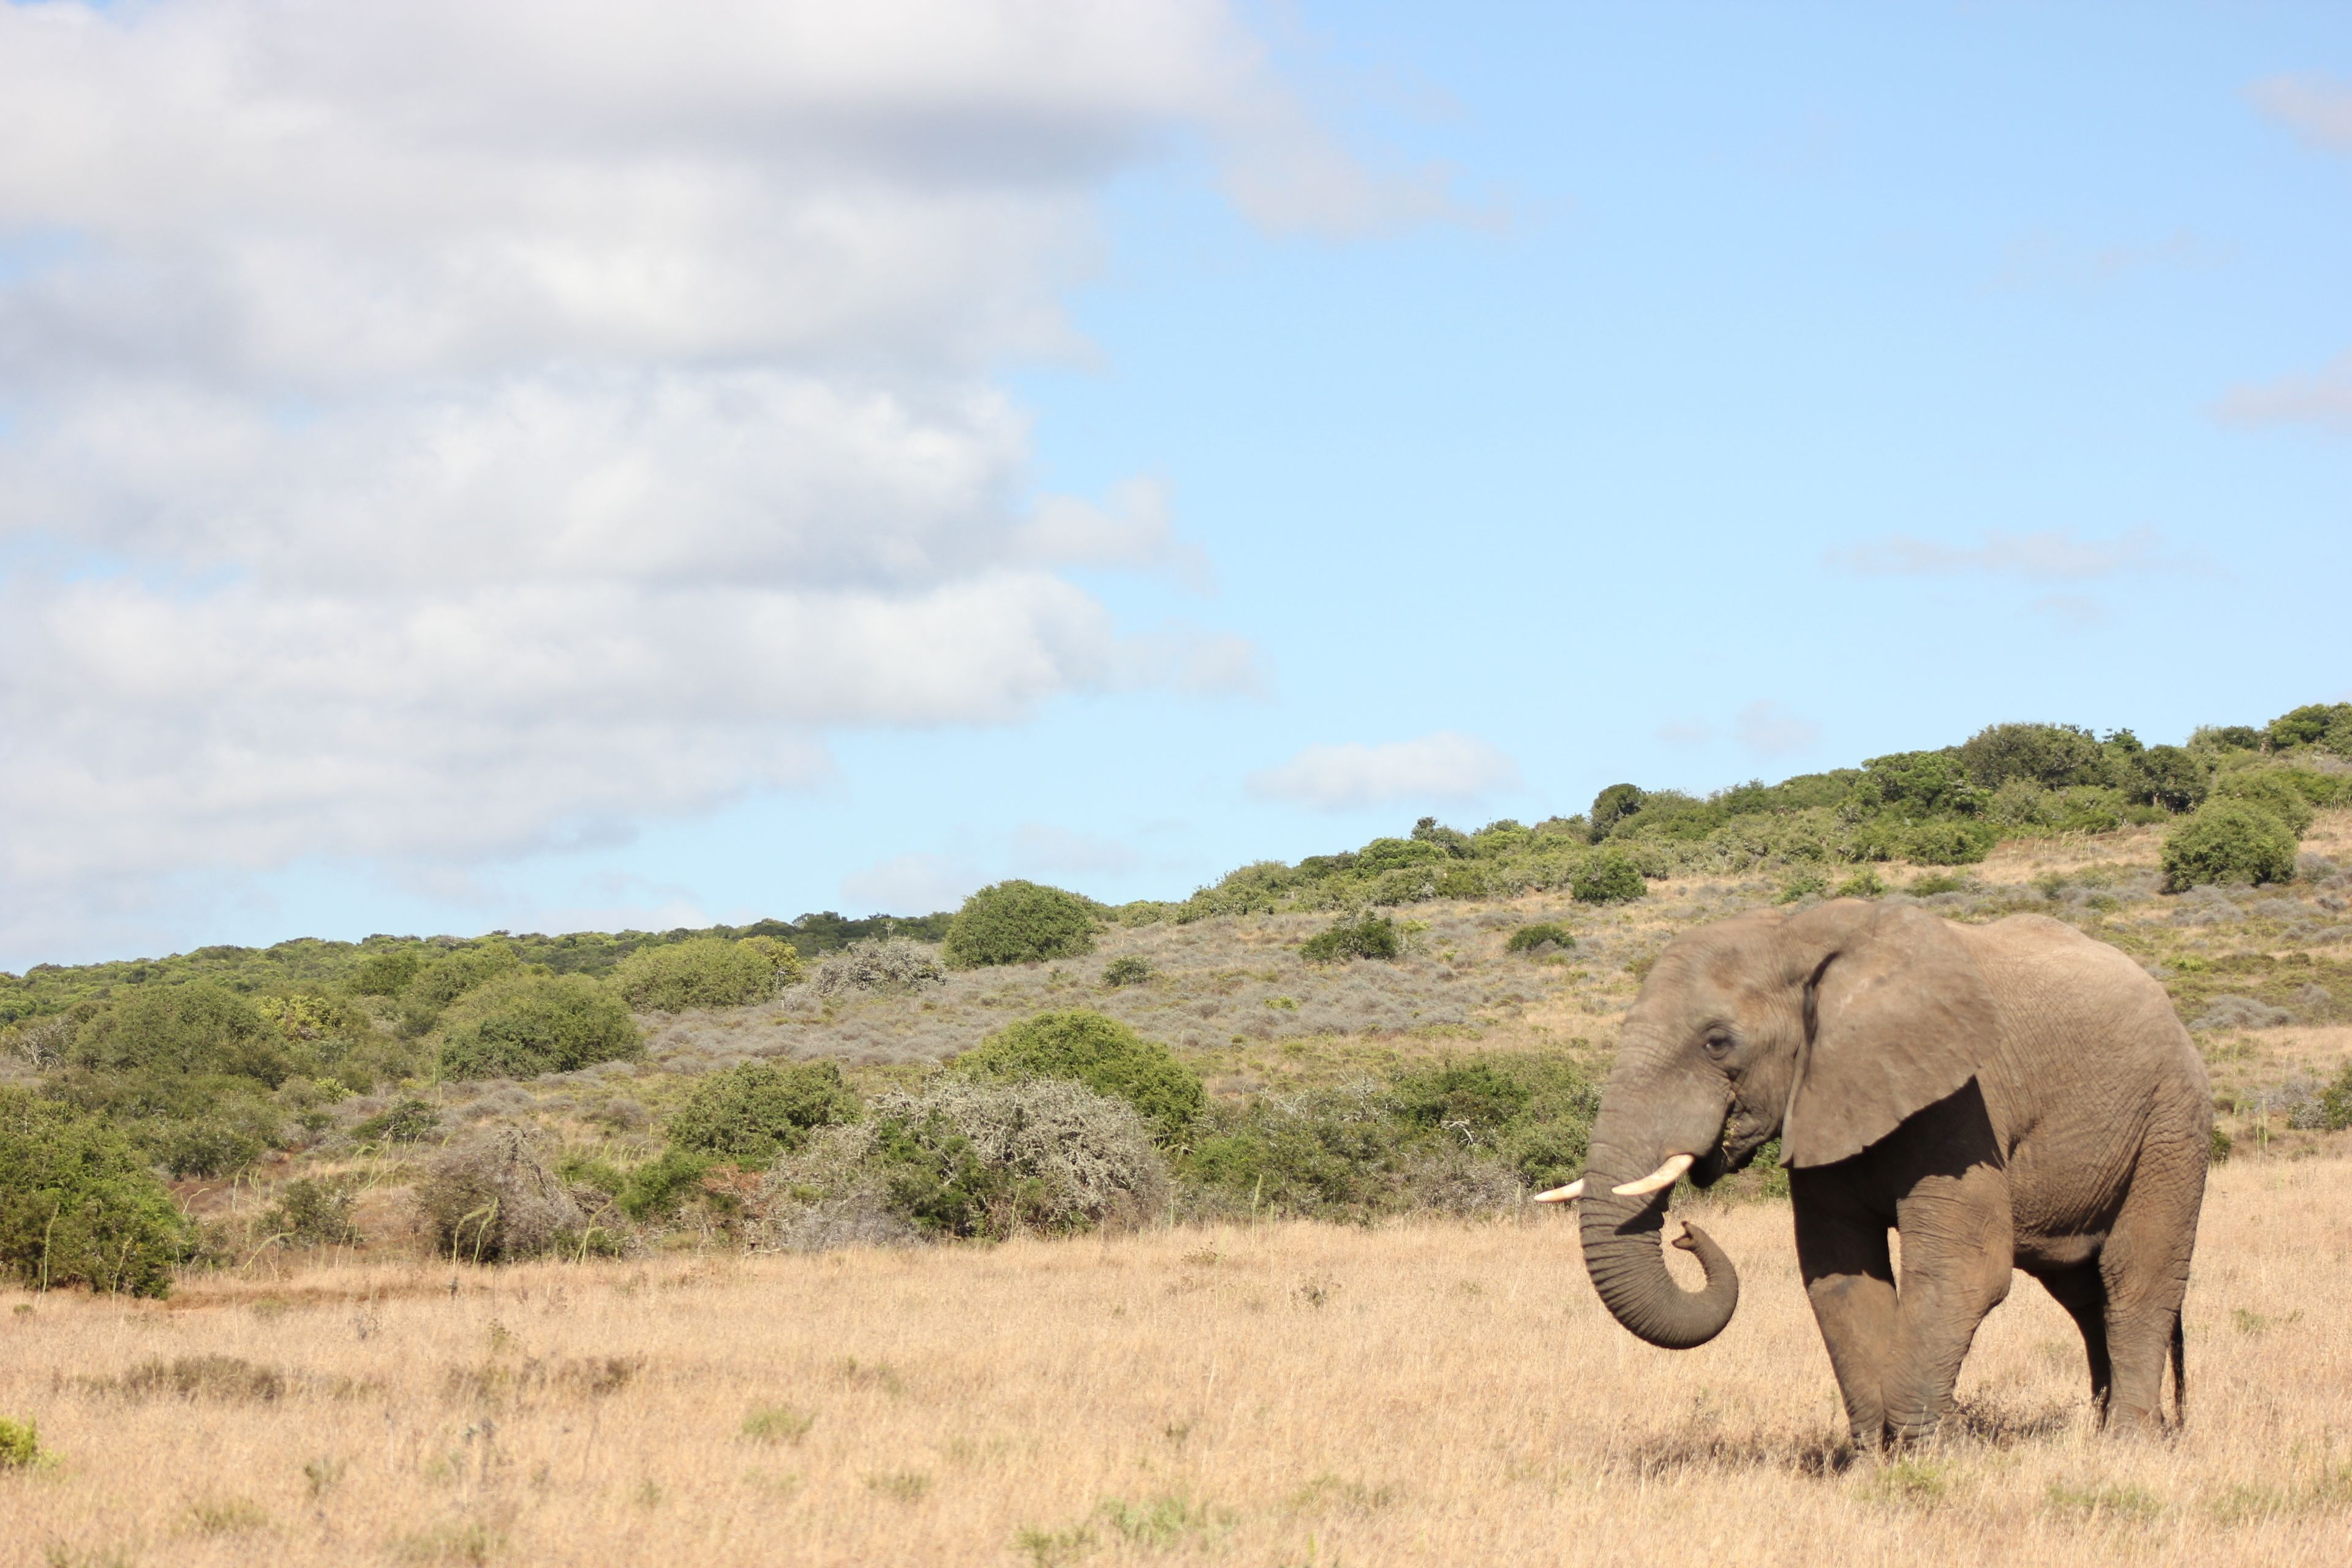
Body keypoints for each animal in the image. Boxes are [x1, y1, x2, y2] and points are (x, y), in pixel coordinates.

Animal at [1537, 899, 2210, 1448]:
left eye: (1717, 1042)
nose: (1685, 1232)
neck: (1799, 939)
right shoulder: (1820, 1096)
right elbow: (1839, 1275)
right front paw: (1875, 1461)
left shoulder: (1963, 1101)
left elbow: (1964, 1269)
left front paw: (1938, 1454)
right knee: (2081, 1290)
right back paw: (2102, 1433)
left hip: (2172, 1120)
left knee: (2135, 1277)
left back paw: (2127, 1446)